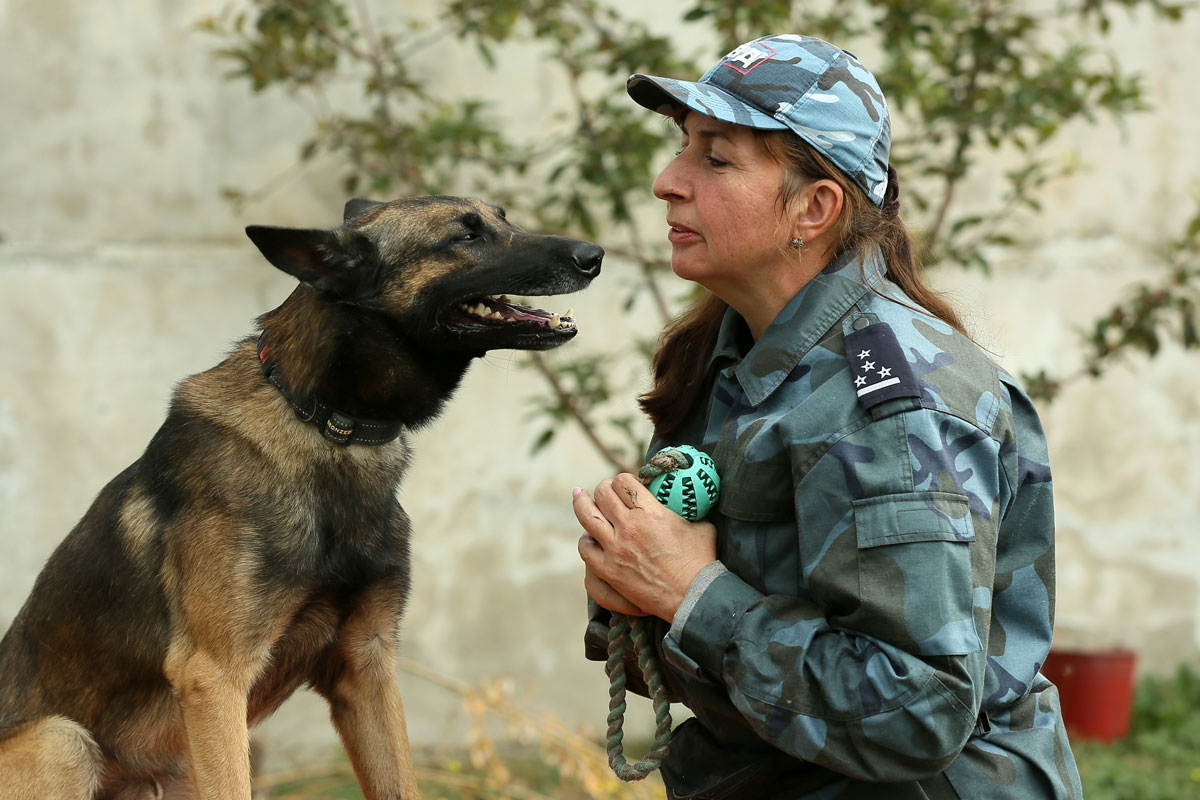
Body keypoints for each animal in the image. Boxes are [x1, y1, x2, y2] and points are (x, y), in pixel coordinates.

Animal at [0, 195, 600, 800]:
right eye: (465, 235)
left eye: (503, 217)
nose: (593, 254)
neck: (330, 423)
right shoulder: (214, 676)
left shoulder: (366, 665)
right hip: (64, 742)